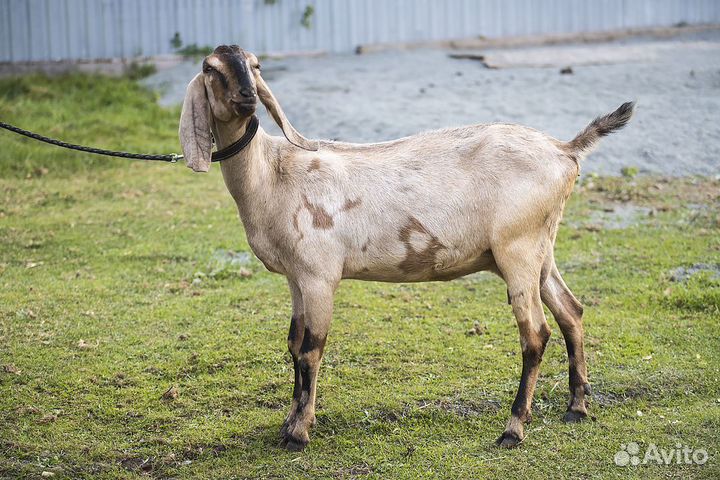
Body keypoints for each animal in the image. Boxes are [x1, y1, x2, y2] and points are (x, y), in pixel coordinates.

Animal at [179, 45, 635, 450]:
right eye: (210, 67)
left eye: (255, 65)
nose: (247, 96)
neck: (272, 174)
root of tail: (565, 150)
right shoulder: (296, 277)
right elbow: (293, 343)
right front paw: (289, 422)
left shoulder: (319, 274)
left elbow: (311, 349)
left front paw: (299, 434)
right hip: (542, 247)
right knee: (570, 311)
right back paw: (576, 407)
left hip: (517, 249)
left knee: (535, 334)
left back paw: (513, 428)